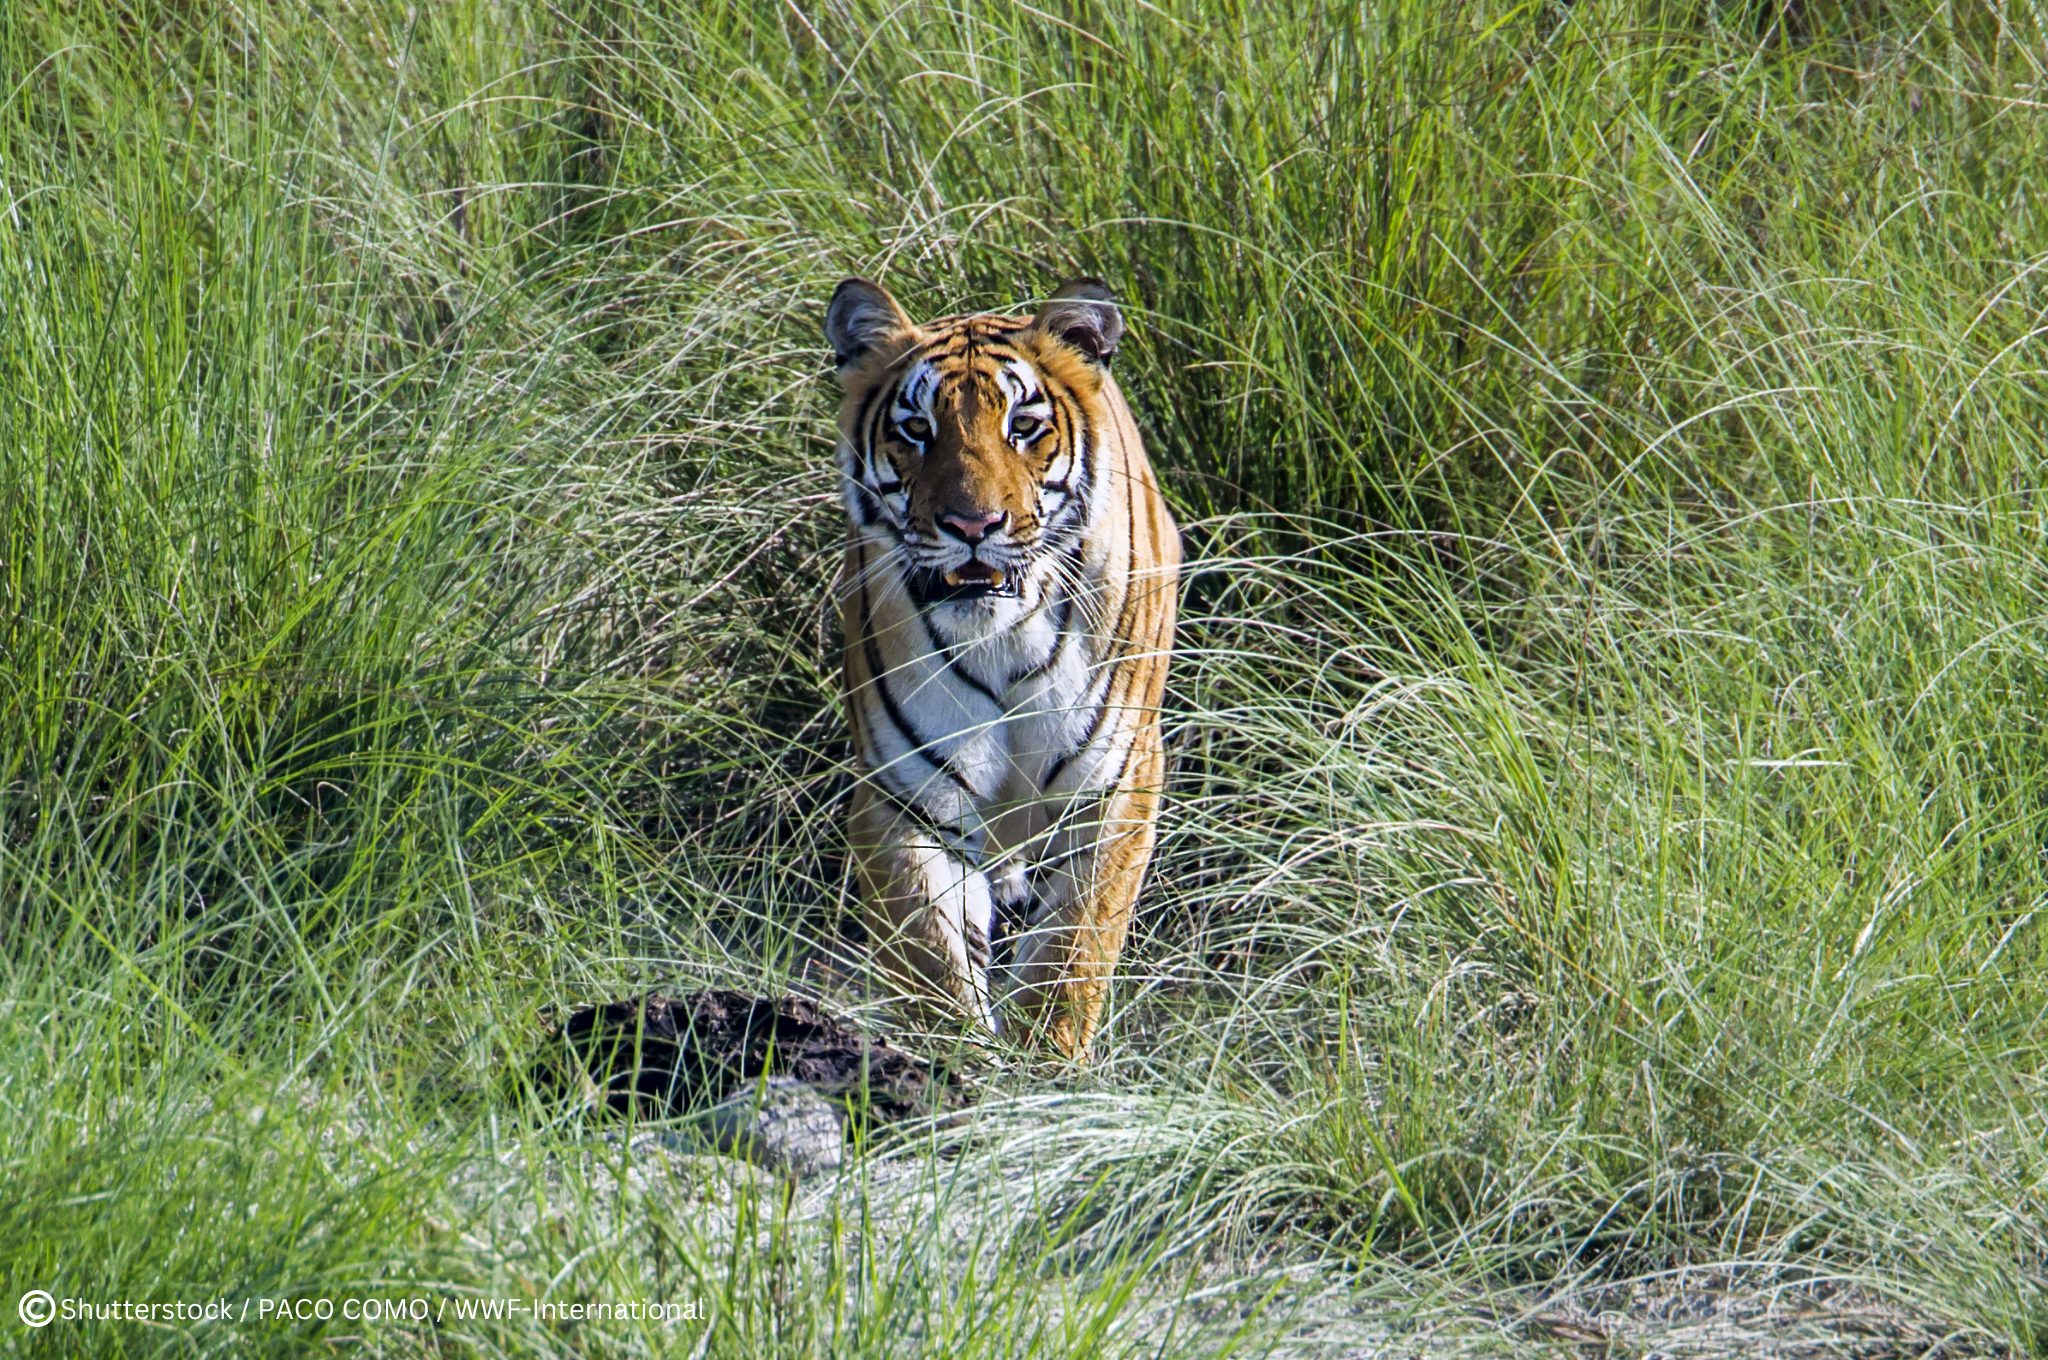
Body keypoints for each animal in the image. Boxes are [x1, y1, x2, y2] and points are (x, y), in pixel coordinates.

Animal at [819, 278, 1179, 1065]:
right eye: (916, 429)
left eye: (1024, 426)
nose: (972, 526)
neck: (1002, 639)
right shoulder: (909, 798)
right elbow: (932, 958)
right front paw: (958, 1066)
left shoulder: (1111, 787)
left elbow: (1069, 959)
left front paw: (1048, 1073)